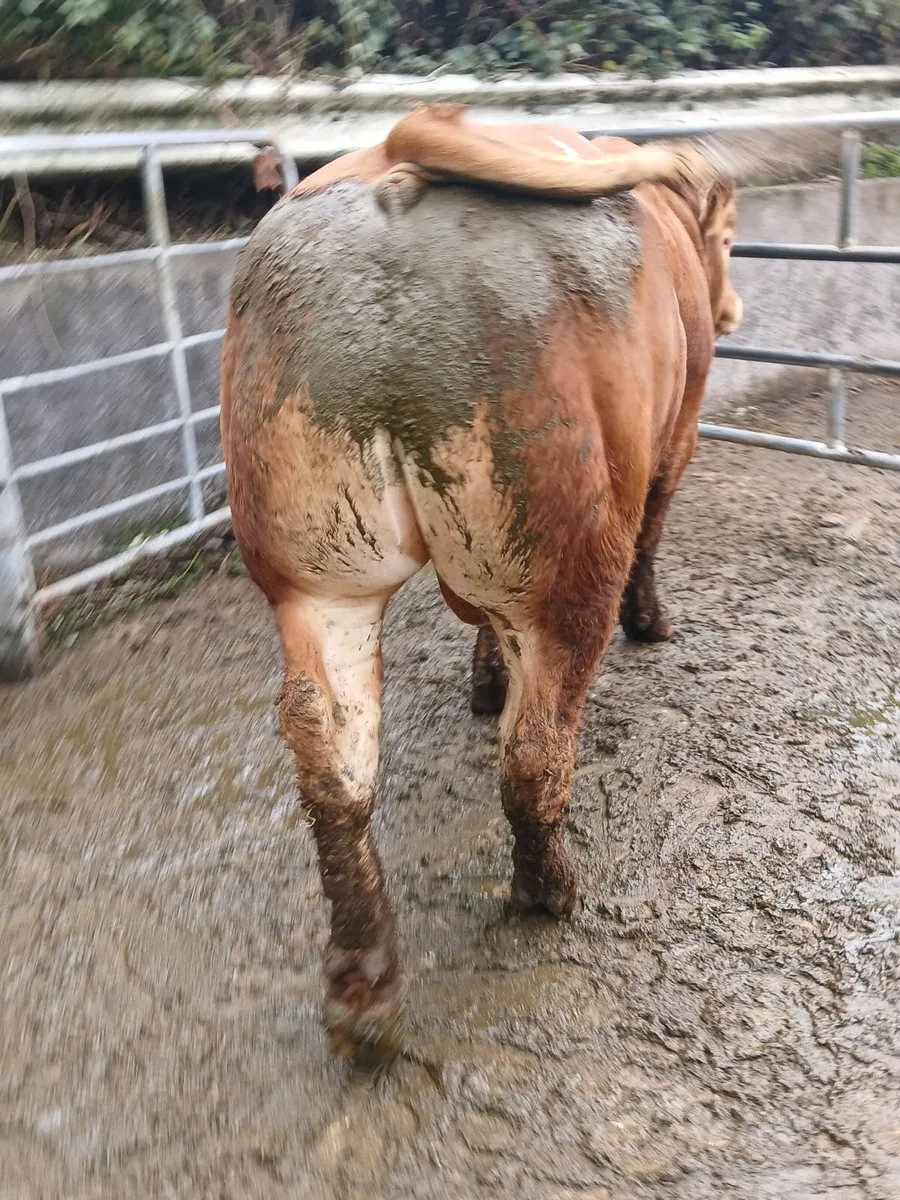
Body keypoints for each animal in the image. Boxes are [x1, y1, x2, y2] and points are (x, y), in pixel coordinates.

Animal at [220, 104, 742, 1065]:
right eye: (728, 238)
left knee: (329, 751)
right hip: (572, 553)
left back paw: (363, 987)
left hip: (314, 574)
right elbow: (655, 535)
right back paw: (549, 892)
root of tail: (398, 146)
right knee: (535, 749)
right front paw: (653, 622)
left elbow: (480, 628)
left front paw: (483, 679)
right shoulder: (680, 431)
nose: (730, 308)